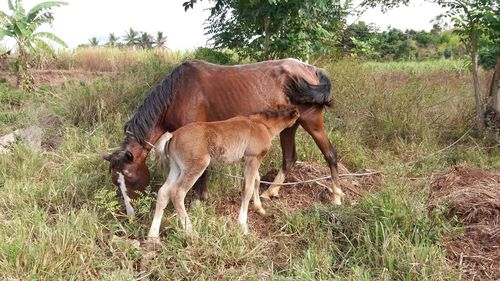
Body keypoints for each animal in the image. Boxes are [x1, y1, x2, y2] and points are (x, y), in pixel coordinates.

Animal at [103, 57, 346, 214]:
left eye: (131, 179)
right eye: (116, 182)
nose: (130, 214)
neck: (177, 93)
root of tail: (312, 70)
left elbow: (203, 172)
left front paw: (198, 200)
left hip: (312, 122)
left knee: (330, 154)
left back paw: (336, 196)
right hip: (289, 125)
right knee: (289, 158)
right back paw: (271, 192)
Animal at [146, 106, 298, 242]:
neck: (262, 125)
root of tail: (173, 135)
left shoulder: (250, 161)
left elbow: (257, 180)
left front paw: (259, 208)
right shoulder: (253, 158)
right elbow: (247, 189)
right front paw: (243, 227)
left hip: (176, 168)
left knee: (163, 192)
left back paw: (153, 236)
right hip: (196, 167)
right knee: (177, 193)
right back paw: (191, 232)